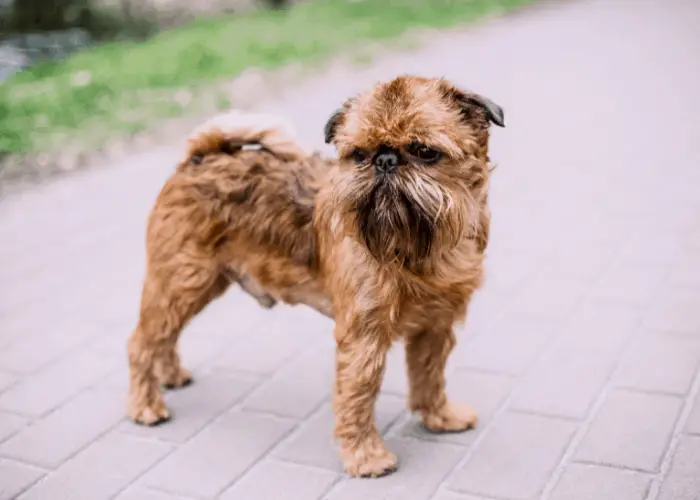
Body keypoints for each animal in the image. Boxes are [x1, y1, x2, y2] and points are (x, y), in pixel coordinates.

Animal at [127, 74, 504, 476]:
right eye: (358, 154)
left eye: (424, 150)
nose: (385, 160)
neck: (417, 249)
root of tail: (200, 157)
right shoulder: (363, 335)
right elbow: (358, 393)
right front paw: (366, 456)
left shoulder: (435, 326)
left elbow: (430, 375)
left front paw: (439, 417)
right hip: (182, 280)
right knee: (142, 341)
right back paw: (145, 405)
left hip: (194, 284)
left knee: (165, 334)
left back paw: (170, 376)